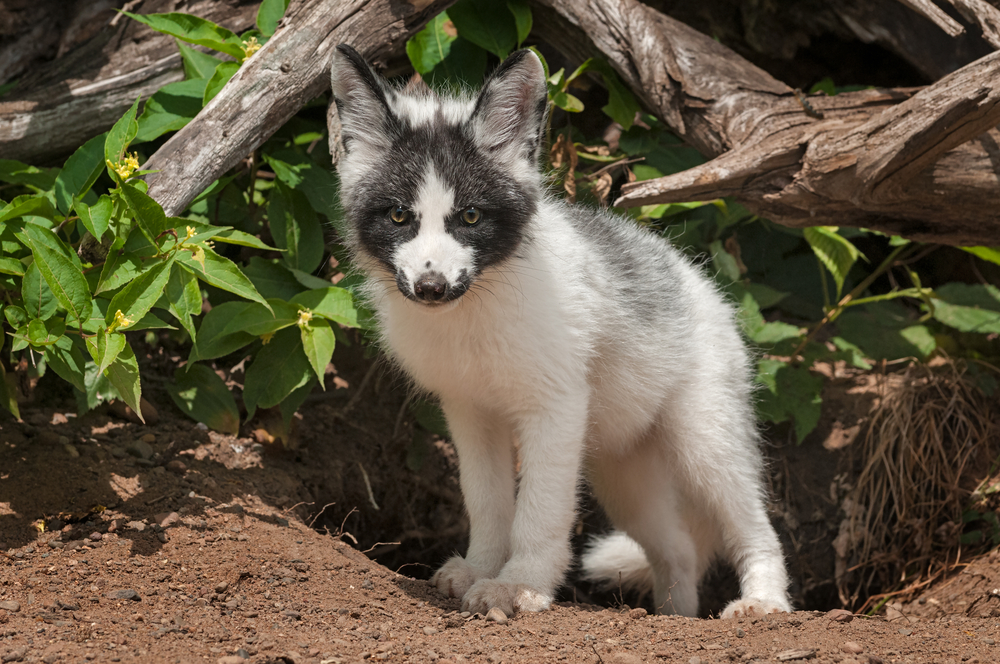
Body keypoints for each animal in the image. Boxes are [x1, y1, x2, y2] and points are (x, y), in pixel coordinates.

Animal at [332, 44, 792, 620]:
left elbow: (539, 513)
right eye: (398, 216)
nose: (432, 287)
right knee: (680, 551)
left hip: (705, 443)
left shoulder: (555, 408)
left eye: (471, 216)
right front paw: (481, 571)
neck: (474, 315)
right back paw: (675, 619)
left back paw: (764, 603)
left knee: (756, 527)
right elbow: (487, 503)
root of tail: (700, 282)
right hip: (622, 473)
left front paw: (518, 586)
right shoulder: (470, 412)